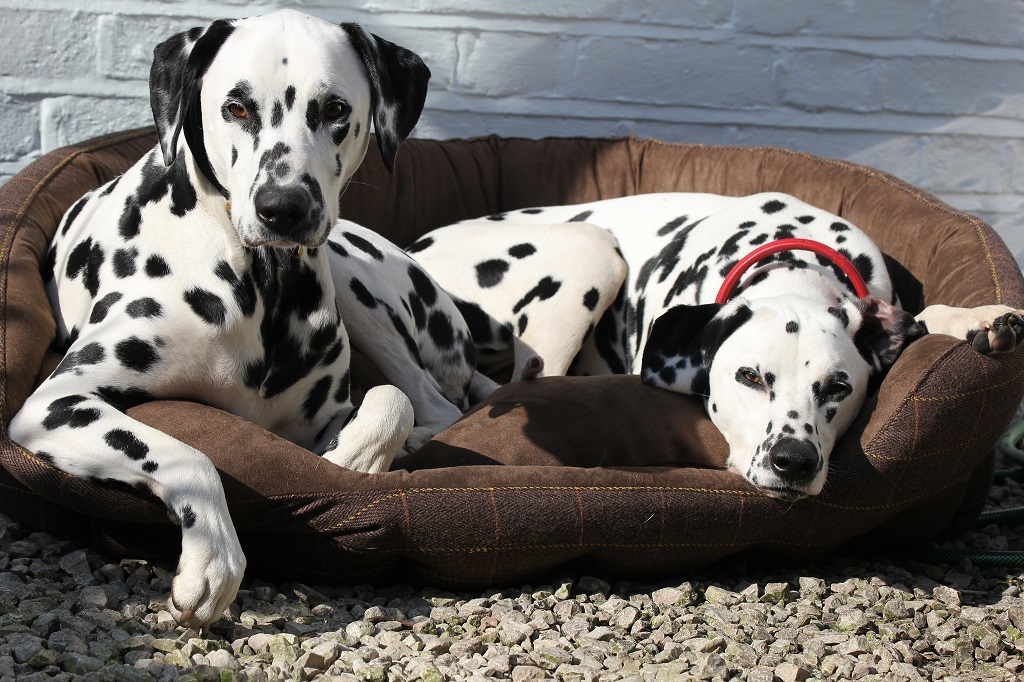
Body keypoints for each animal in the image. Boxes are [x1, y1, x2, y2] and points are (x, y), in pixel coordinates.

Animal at [7, 7, 487, 630]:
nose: (283, 207)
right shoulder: (53, 405)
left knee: (432, 400)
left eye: (335, 109)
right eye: (235, 107)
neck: (262, 284)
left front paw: (355, 456)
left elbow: (389, 404)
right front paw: (213, 560)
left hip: (356, 283)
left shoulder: (320, 418)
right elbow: (189, 455)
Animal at [409, 192, 1024, 499]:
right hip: (590, 251)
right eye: (749, 376)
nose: (793, 462)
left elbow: (924, 317)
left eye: (838, 387)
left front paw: (979, 318)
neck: (793, 260)